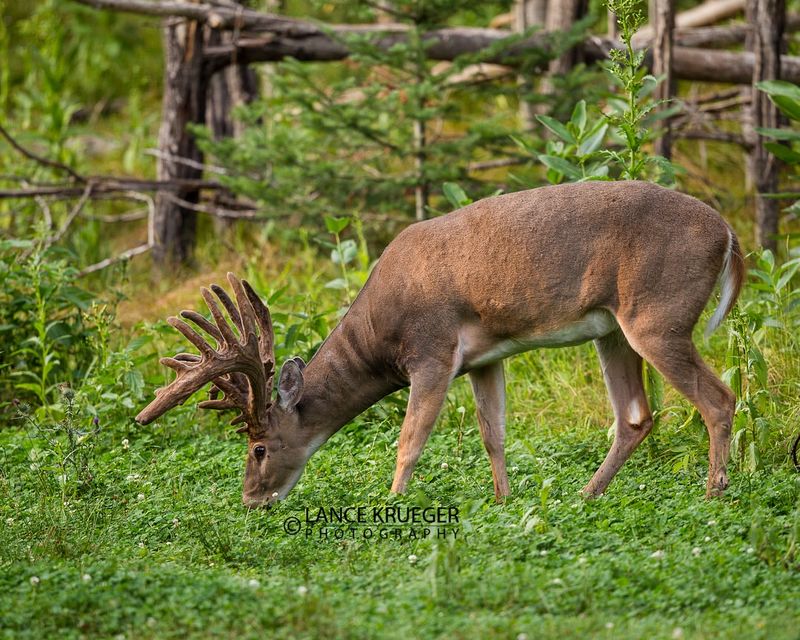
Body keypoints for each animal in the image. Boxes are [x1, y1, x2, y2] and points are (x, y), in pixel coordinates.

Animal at [136, 182, 744, 508]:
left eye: (259, 448)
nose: (251, 501)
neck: (380, 335)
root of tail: (730, 235)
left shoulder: (430, 351)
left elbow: (410, 440)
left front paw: (391, 501)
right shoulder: (483, 358)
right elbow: (492, 433)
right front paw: (502, 501)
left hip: (658, 317)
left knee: (719, 398)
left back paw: (712, 495)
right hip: (614, 330)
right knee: (636, 415)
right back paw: (586, 495)